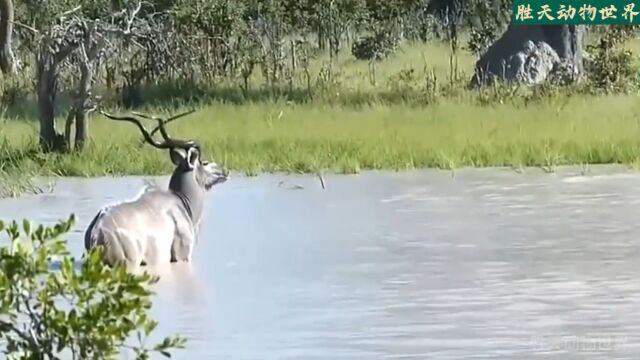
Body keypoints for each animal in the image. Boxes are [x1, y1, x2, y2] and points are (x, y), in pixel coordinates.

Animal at [82, 109, 228, 270]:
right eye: (205, 162)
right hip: (129, 263)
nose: (225, 171)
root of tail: (98, 233)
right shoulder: (182, 255)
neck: (181, 200)